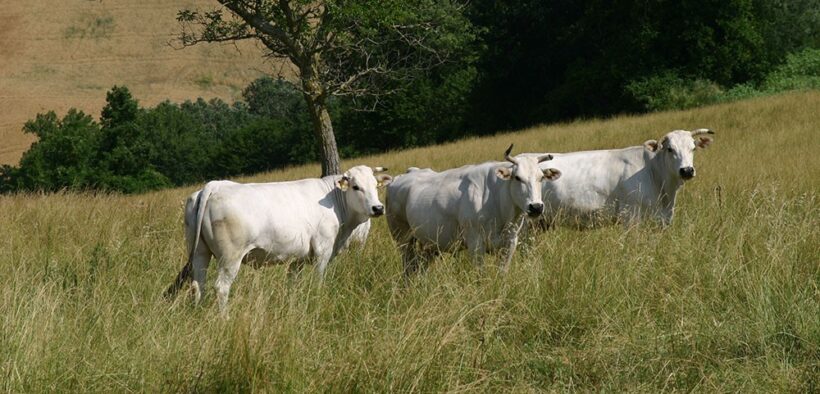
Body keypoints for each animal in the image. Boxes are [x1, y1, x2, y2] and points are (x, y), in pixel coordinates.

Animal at [164, 165, 394, 312]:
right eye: (356, 187)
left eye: (375, 185)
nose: (378, 208)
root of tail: (213, 186)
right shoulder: (323, 250)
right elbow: (318, 280)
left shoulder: (298, 258)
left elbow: (292, 283)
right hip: (230, 258)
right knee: (221, 287)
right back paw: (224, 318)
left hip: (200, 253)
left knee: (198, 285)